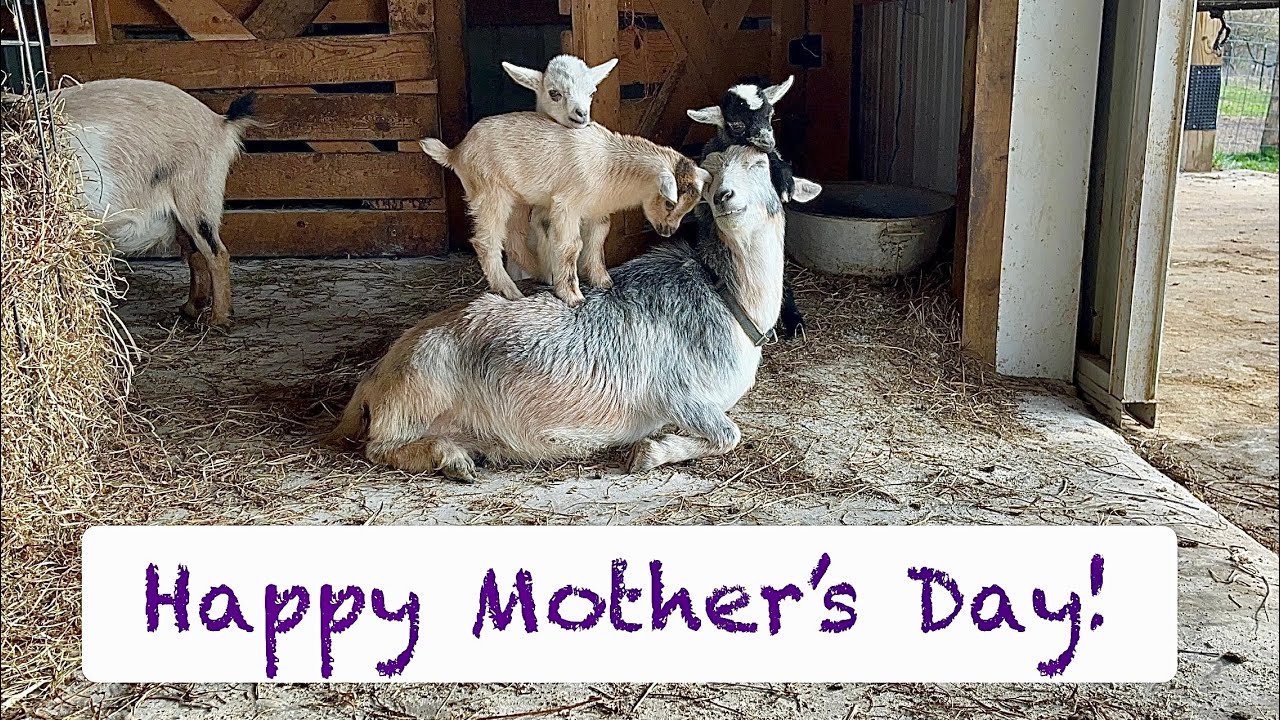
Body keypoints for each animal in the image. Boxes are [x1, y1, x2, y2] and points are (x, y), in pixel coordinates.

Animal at [57, 78, 254, 328]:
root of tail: (219, 121)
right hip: (182, 213)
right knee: (195, 254)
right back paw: (188, 310)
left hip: (198, 194)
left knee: (216, 253)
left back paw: (216, 322)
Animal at [325, 145, 821, 480]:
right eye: (713, 171)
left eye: (765, 168)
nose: (725, 197)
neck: (729, 299)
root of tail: (375, 378)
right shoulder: (678, 393)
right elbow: (728, 435)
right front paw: (648, 453)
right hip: (418, 394)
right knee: (379, 448)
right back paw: (452, 460)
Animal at [420, 112, 708, 306]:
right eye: (670, 202)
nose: (668, 231)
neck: (608, 165)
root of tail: (456, 152)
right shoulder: (567, 205)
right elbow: (571, 246)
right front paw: (573, 296)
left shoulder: (596, 210)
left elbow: (597, 241)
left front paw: (602, 280)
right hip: (489, 192)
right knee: (486, 242)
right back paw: (509, 291)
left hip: (517, 198)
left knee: (514, 239)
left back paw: (540, 273)